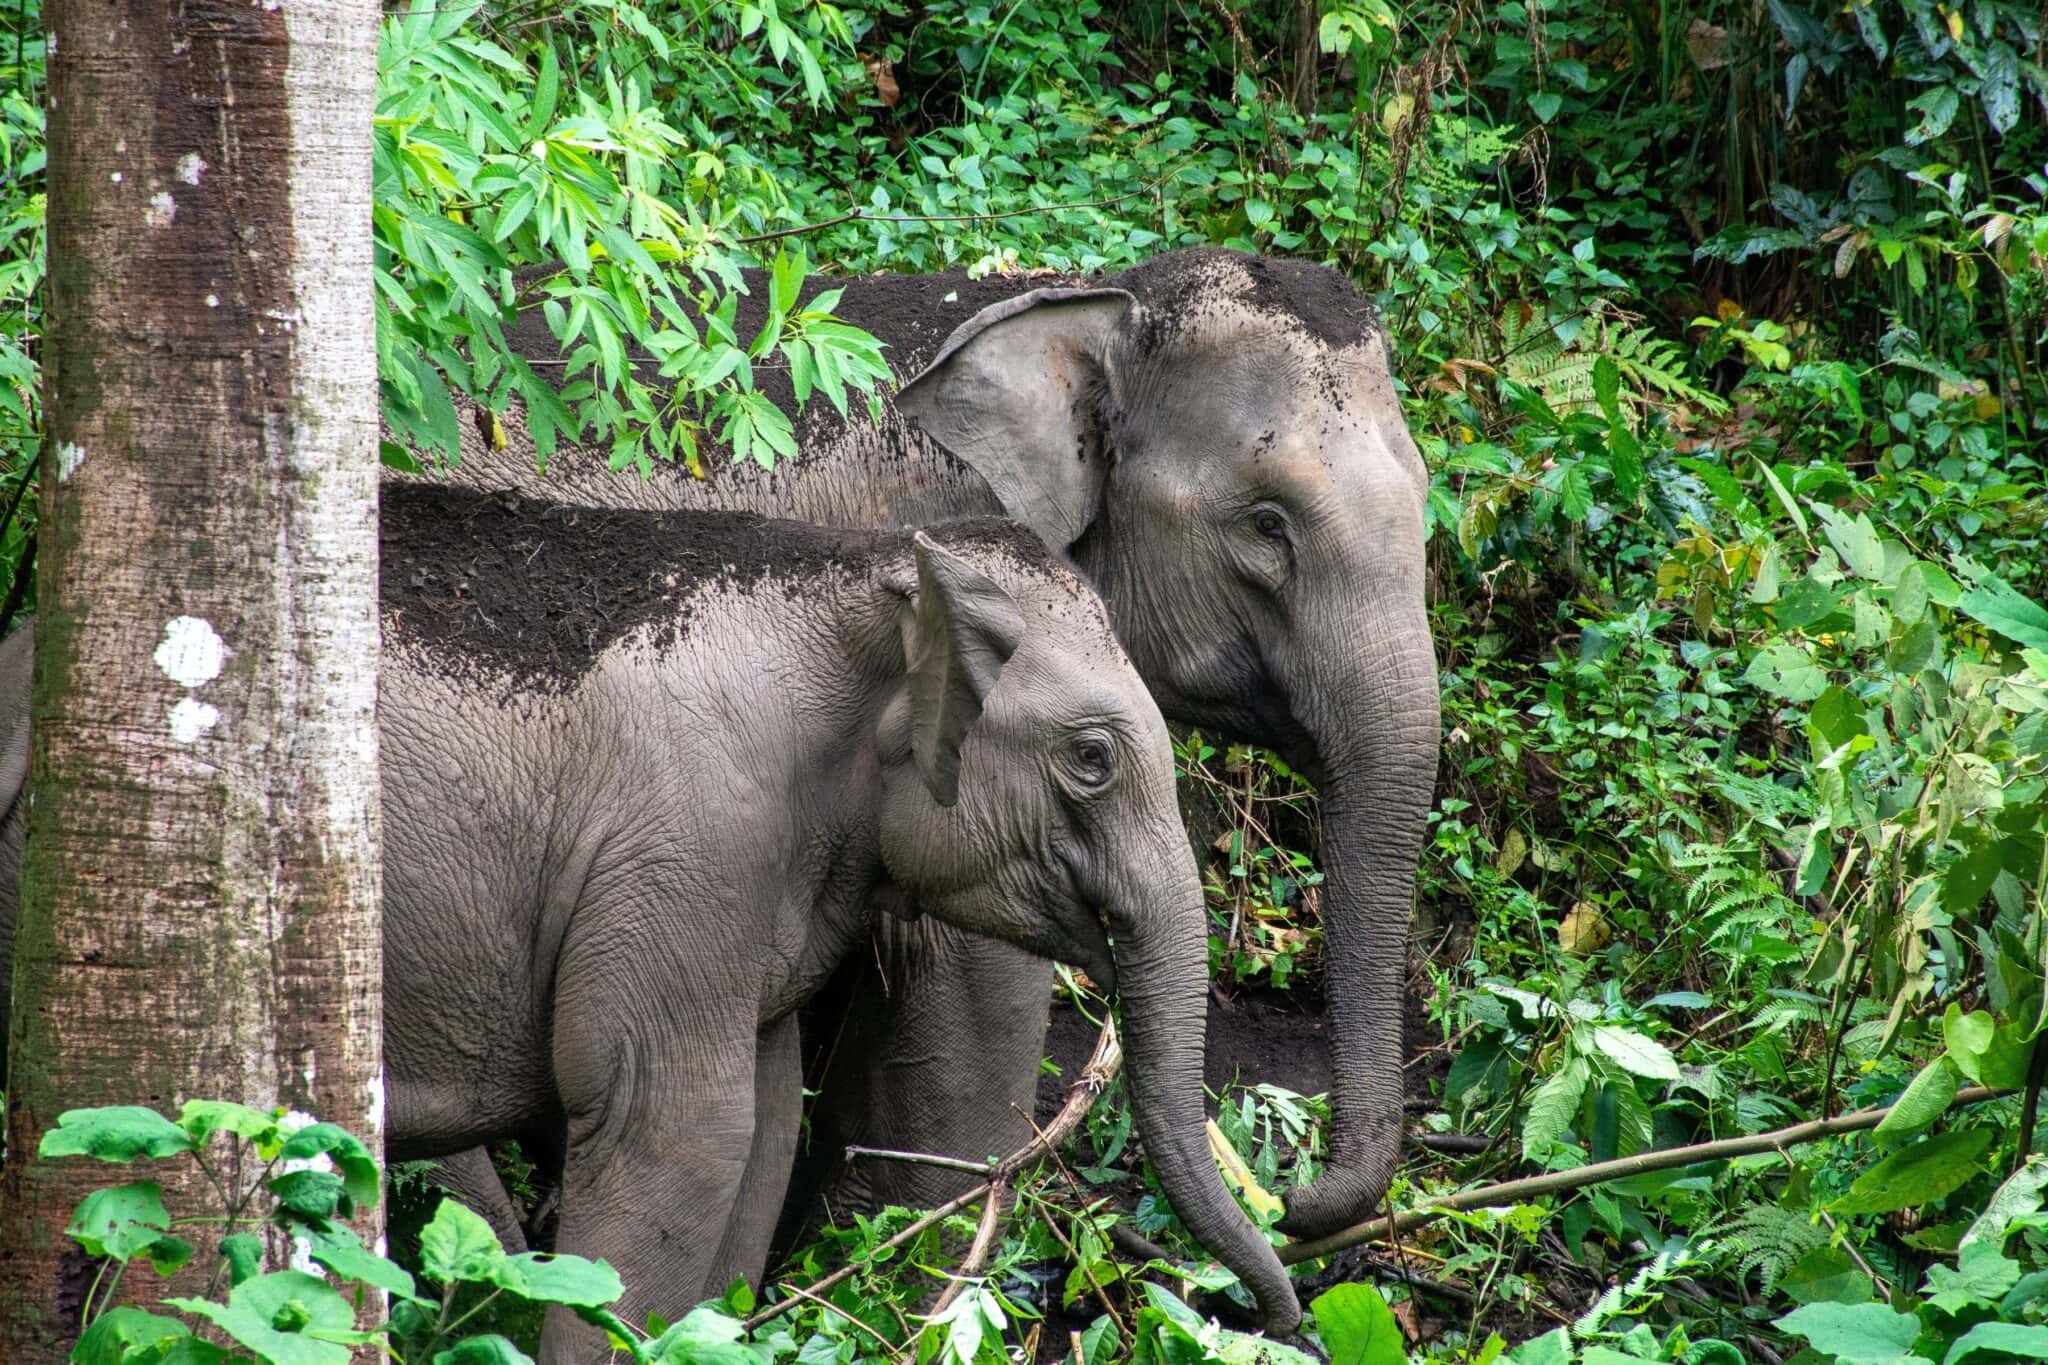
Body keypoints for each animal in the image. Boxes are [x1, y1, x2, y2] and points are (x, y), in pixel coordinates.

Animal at [0, 486, 1302, 1354]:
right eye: (1090, 759)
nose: (1280, 1309)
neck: (866, 571)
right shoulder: (689, 846)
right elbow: (675, 1123)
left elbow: (762, 1132)